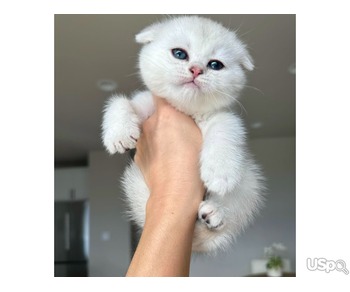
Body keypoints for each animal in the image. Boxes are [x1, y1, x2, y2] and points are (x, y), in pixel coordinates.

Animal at [102, 16, 264, 253]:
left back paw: (216, 212)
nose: (196, 69)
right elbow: (120, 102)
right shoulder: (145, 104)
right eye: (179, 53)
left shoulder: (224, 117)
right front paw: (118, 133)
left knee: (234, 209)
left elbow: (226, 129)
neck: (187, 111)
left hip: (250, 182)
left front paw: (220, 172)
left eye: (215, 65)